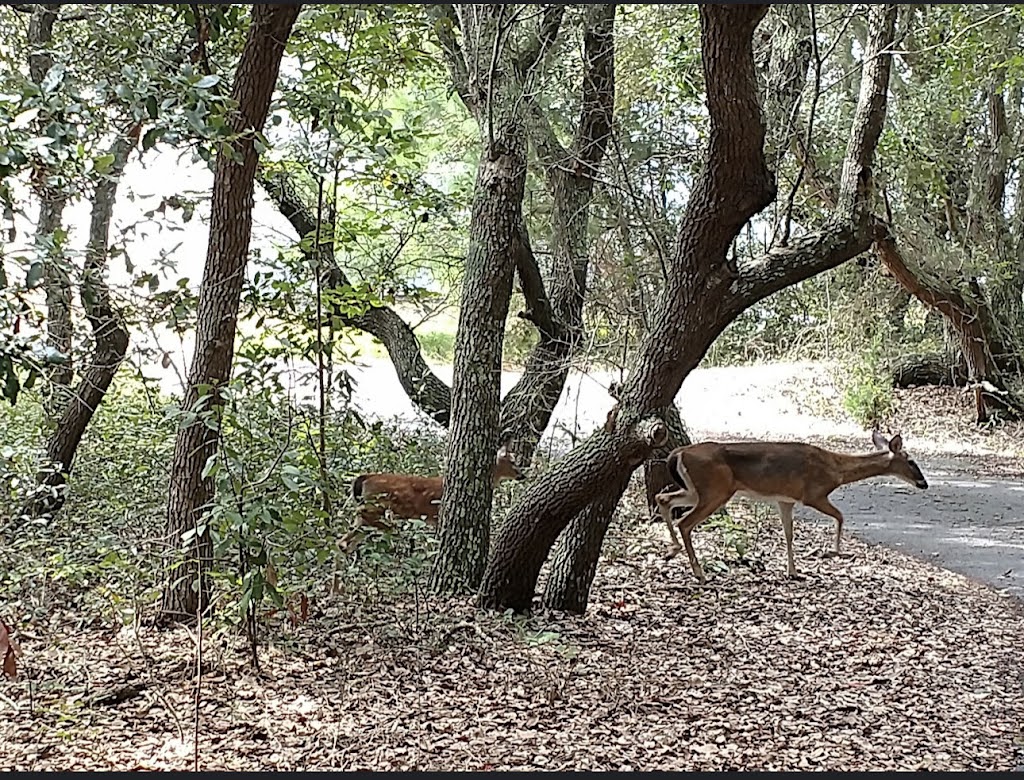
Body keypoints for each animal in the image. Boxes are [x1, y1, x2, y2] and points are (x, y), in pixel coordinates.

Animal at [339, 440, 528, 548]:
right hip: (376, 506)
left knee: (343, 542)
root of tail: (366, 477)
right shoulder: (438, 514)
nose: (522, 475)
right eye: (512, 462)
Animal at [655, 431, 929, 581]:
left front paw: (793, 571)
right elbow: (841, 516)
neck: (837, 469)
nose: (924, 483)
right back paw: (699, 572)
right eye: (912, 461)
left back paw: (671, 551)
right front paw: (834, 552)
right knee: (684, 522)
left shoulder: (785, 499)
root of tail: (678, 453)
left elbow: (789, 534)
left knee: (663, 498)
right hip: (715, 490)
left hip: (697, 490)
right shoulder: (814, 494)